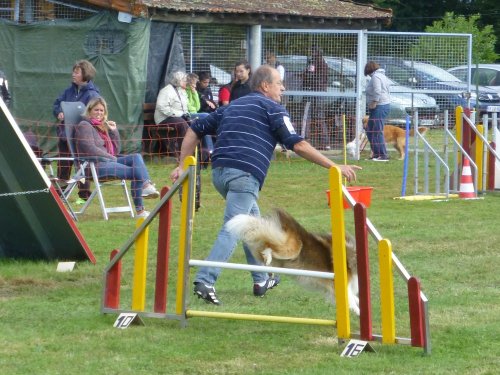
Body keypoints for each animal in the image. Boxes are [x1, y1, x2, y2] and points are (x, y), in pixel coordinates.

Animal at [227, 210, 360, 316]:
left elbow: (353, 297)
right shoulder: (340, 284)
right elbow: (351, 299)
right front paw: (357, 311)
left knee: (263, 248)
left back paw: (267, 263)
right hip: (290, 249)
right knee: (270, 247)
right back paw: (268, 256)